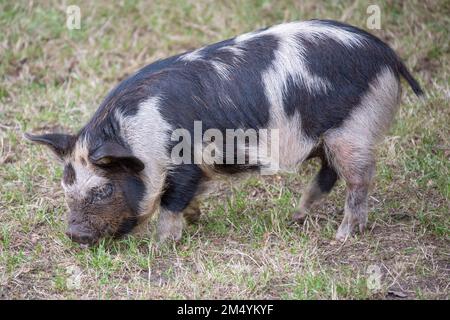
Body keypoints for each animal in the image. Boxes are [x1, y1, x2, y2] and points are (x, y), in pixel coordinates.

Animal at [26, 20, 424, 245]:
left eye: (104, 189)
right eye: (66, 187)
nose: (74, 235)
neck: (138, 136)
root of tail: (388, 55)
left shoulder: (184, 163)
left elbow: (170, 203)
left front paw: (161, 245)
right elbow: (190, 197)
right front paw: (196, 218)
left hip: (354, 128)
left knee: (359, 178)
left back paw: (342, 237)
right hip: (334, 134)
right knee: (329, 173)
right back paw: (296, 216)